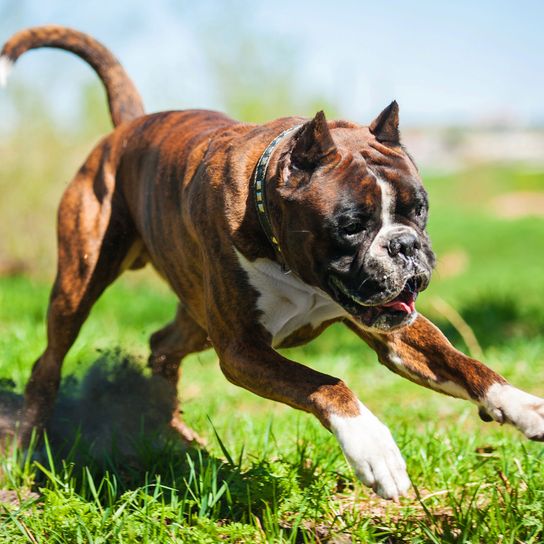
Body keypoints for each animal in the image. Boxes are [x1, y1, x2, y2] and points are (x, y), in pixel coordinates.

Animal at [3, 26, 544, 502]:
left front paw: (522, 405)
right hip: (78, 286)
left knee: (161, 347)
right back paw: (28, 448)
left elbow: (465, 363)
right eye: (352, 225)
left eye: (419, 210)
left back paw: (170, 430)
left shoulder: (397, 335)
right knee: (49, 362)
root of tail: (129, 127)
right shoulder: (243, 351)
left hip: (197, 319)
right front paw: (374, 449)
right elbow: (328, 384)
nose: (405, 246)